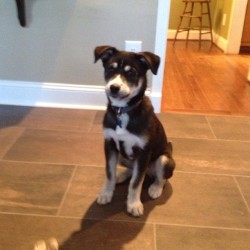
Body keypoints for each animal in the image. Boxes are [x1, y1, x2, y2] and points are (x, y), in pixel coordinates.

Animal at [94, 46, 175, 217]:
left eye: (131, 72)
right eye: (110, 69)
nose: (114, 88)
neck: (123, 111)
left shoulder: (143, 151)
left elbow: (136, 182)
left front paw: (134, 205)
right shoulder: (109, 144)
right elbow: (109, 173)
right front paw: (106, 194)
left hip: (164, 159)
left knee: (161, 177)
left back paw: (155, 188)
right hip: (122, 157)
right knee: (133, 170)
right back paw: (121, 175)